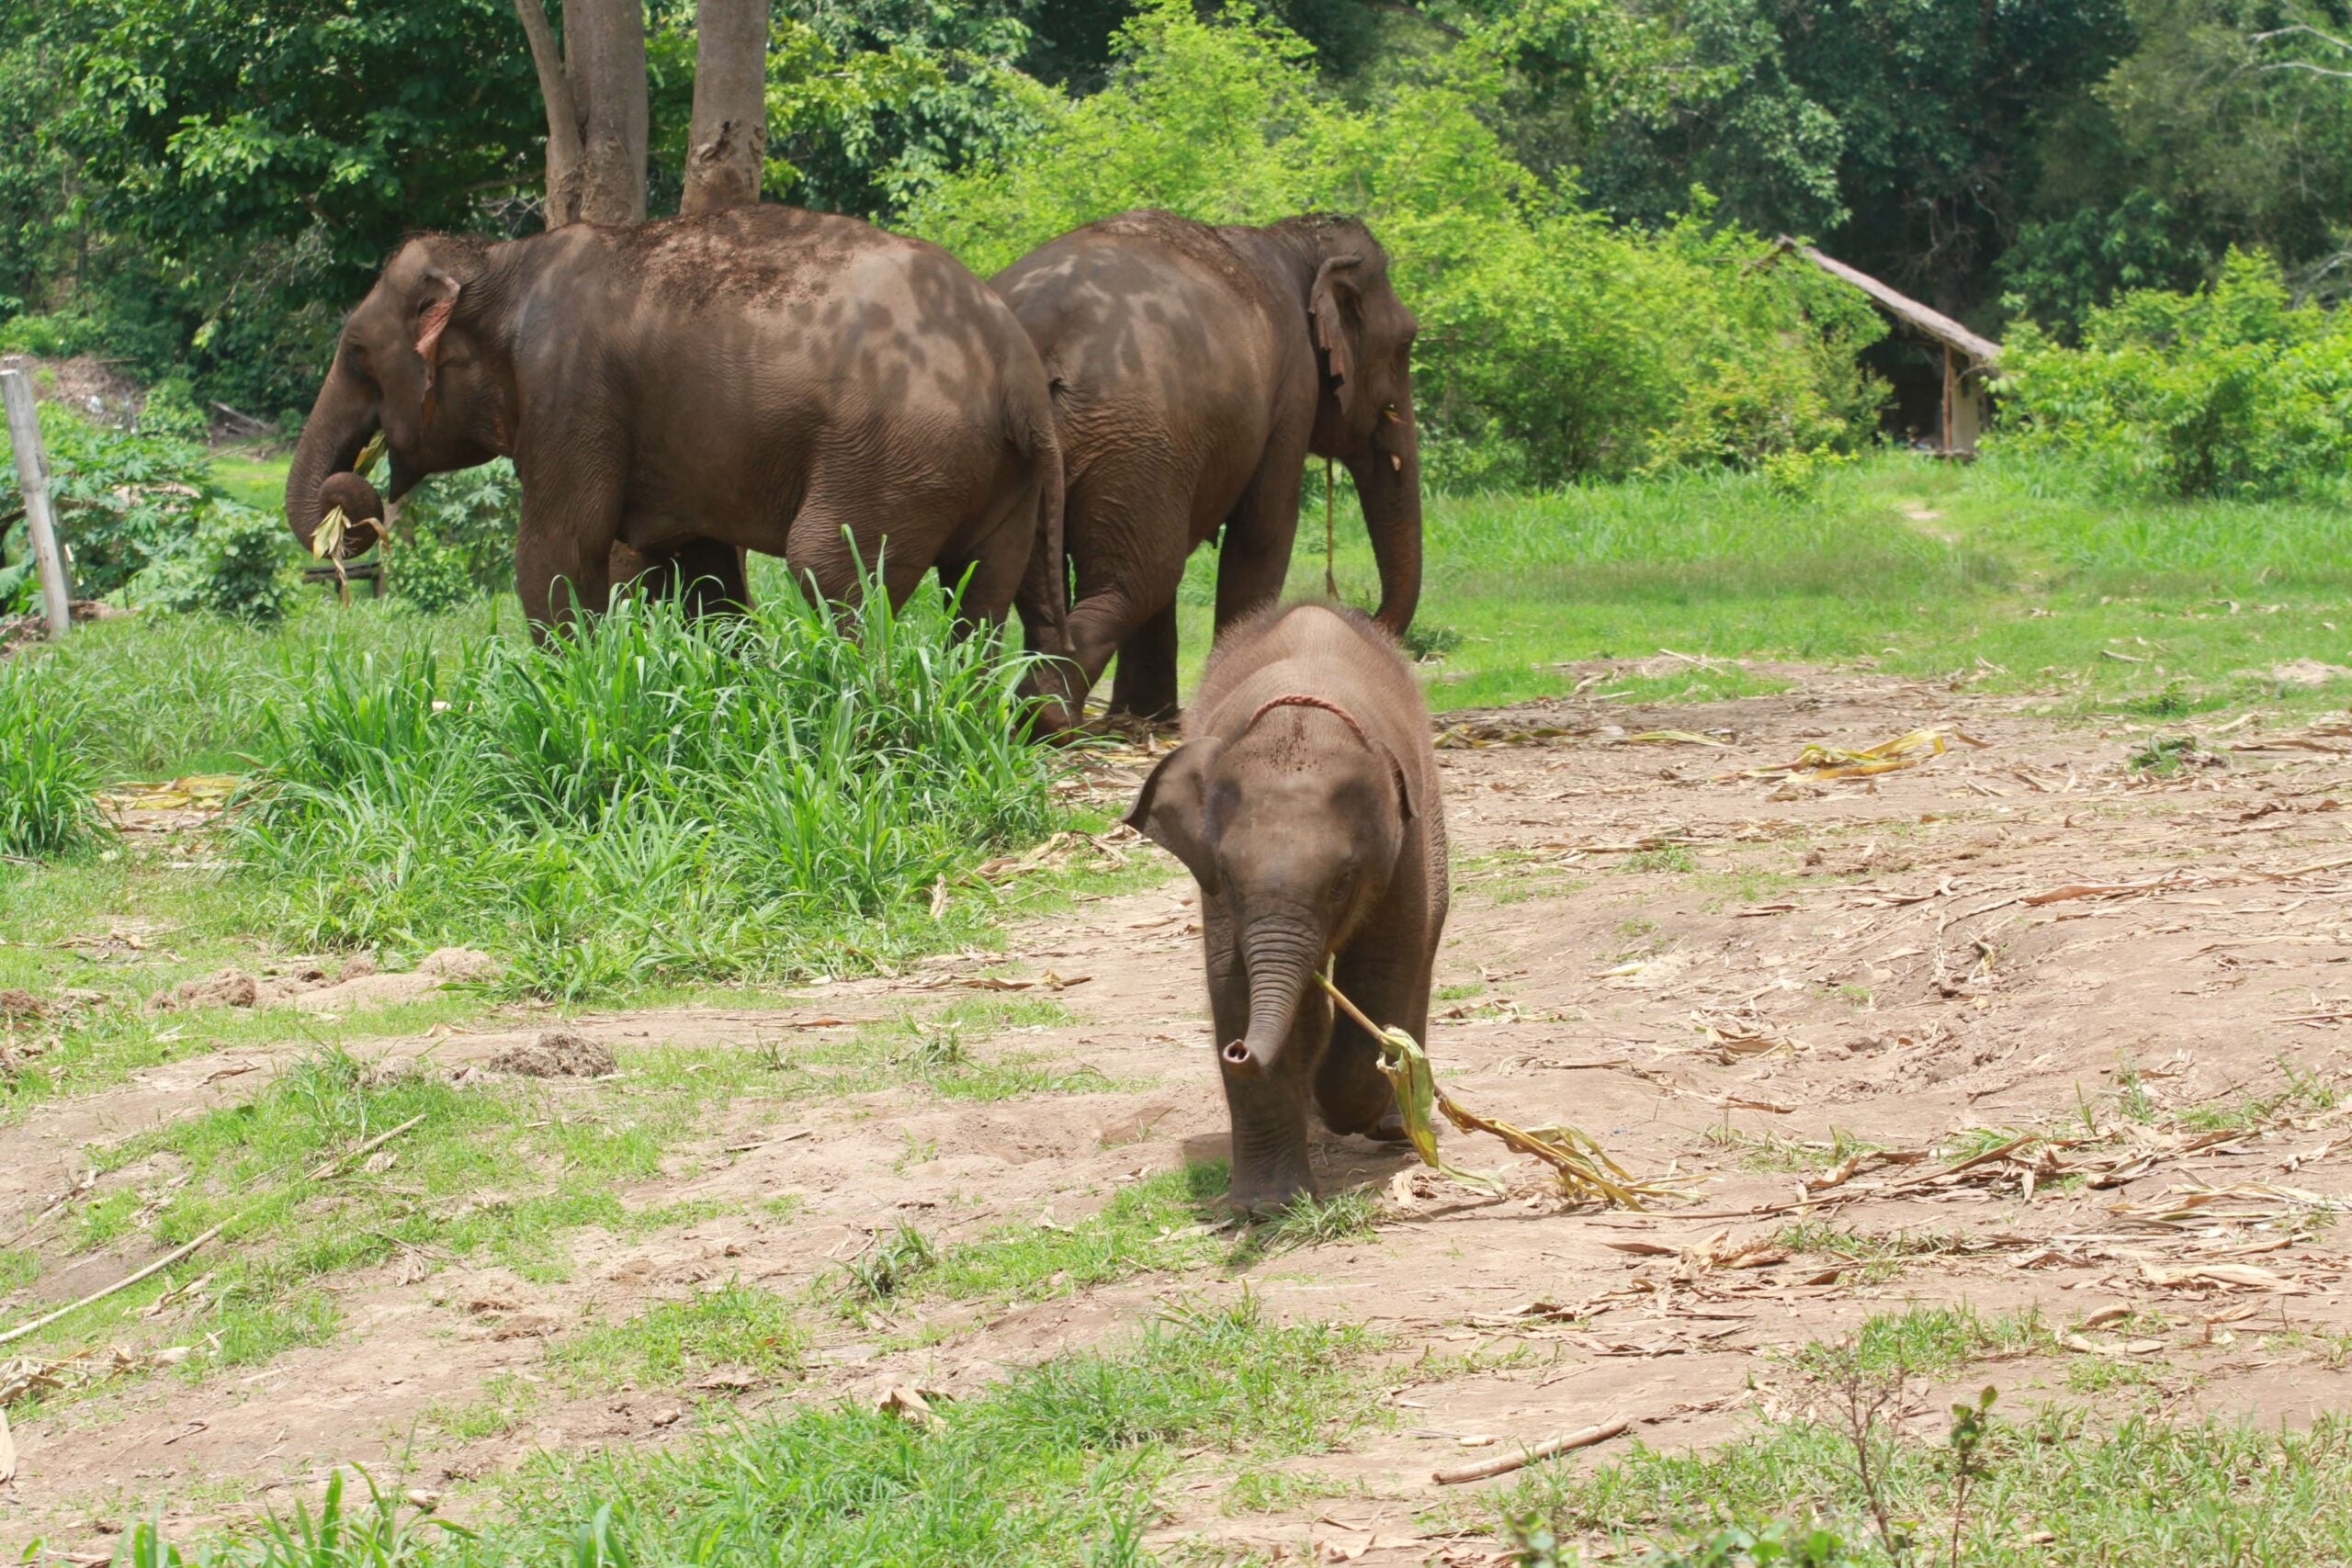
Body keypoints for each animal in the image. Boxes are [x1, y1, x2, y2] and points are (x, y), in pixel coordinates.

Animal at [286, 205, 1066, 650]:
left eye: (355, 353)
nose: (350, 497)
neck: (504, 260)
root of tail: (1016, 371)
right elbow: (703, 573)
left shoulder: (570, 394)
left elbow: (558, 554)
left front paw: (571, 684)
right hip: (999, 476)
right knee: (982, 590)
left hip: (893, 455)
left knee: (831, 568)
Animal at [995, 209, 1424, 724]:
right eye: (1405, 343)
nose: (1361, 613)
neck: (1293, 241)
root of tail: (1042, 341)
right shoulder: (1294, 389)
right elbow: (1263, 530)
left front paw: (1146, 717)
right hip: (1139, 442)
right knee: (1143, 577)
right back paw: (1053, 719)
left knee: (1045, 584)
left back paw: (1041, 715)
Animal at [1124, 601, 1448, 1212]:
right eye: (1228, 877)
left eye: (1343, 881)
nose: (1237, 1051)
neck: (1301, 722)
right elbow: (1230, 980)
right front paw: (1267, 1209)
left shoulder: (1407, 842)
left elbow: (1386, 960)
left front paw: (1344, 1103)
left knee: (1423, 944)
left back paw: (1393, 1125)